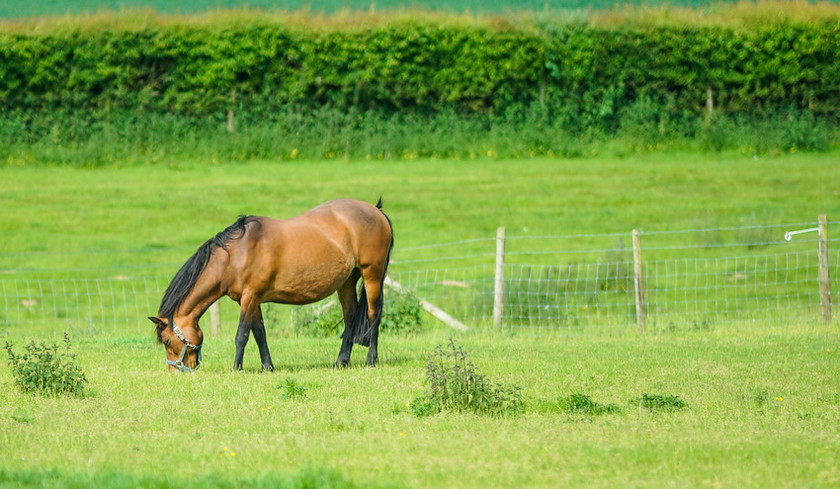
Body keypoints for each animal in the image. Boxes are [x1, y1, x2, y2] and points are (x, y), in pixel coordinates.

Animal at [148, 197, 394, 370]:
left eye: (167, 342)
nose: (175, 371)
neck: (236, 254)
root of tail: (376, 211)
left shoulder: (249, 297)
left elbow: (242, 335)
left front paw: (236, 368)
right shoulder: (252, 300)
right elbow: (259, 333)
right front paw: (268, 366)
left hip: (372, 275)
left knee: (373, 315)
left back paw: (371, 360)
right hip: (346, 281)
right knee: (350, 316)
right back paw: (341, 361)